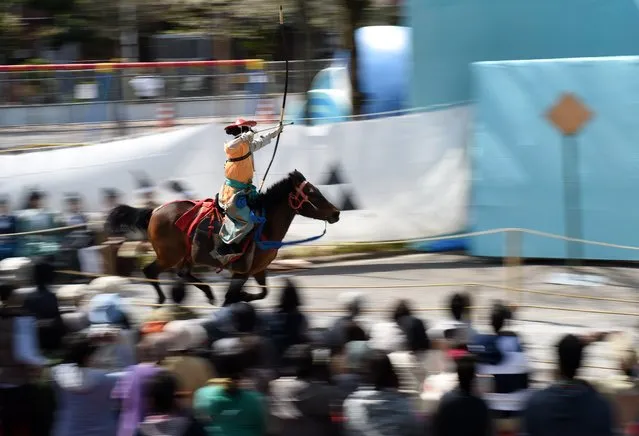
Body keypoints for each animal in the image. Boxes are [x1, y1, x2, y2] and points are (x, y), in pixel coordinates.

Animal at [105, 169, 340, 304]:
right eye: (313, 194)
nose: (336, 213)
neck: (264, 226)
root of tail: (154, 211)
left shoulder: (258, 270)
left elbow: (263, 293)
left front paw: (244, 296)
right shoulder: (242, 272)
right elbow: (231, 297)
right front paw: (238, 298)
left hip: (186, 255)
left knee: (182, 273)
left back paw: (207, 293)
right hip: (169, 255)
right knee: (151, 271)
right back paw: (162, 299)